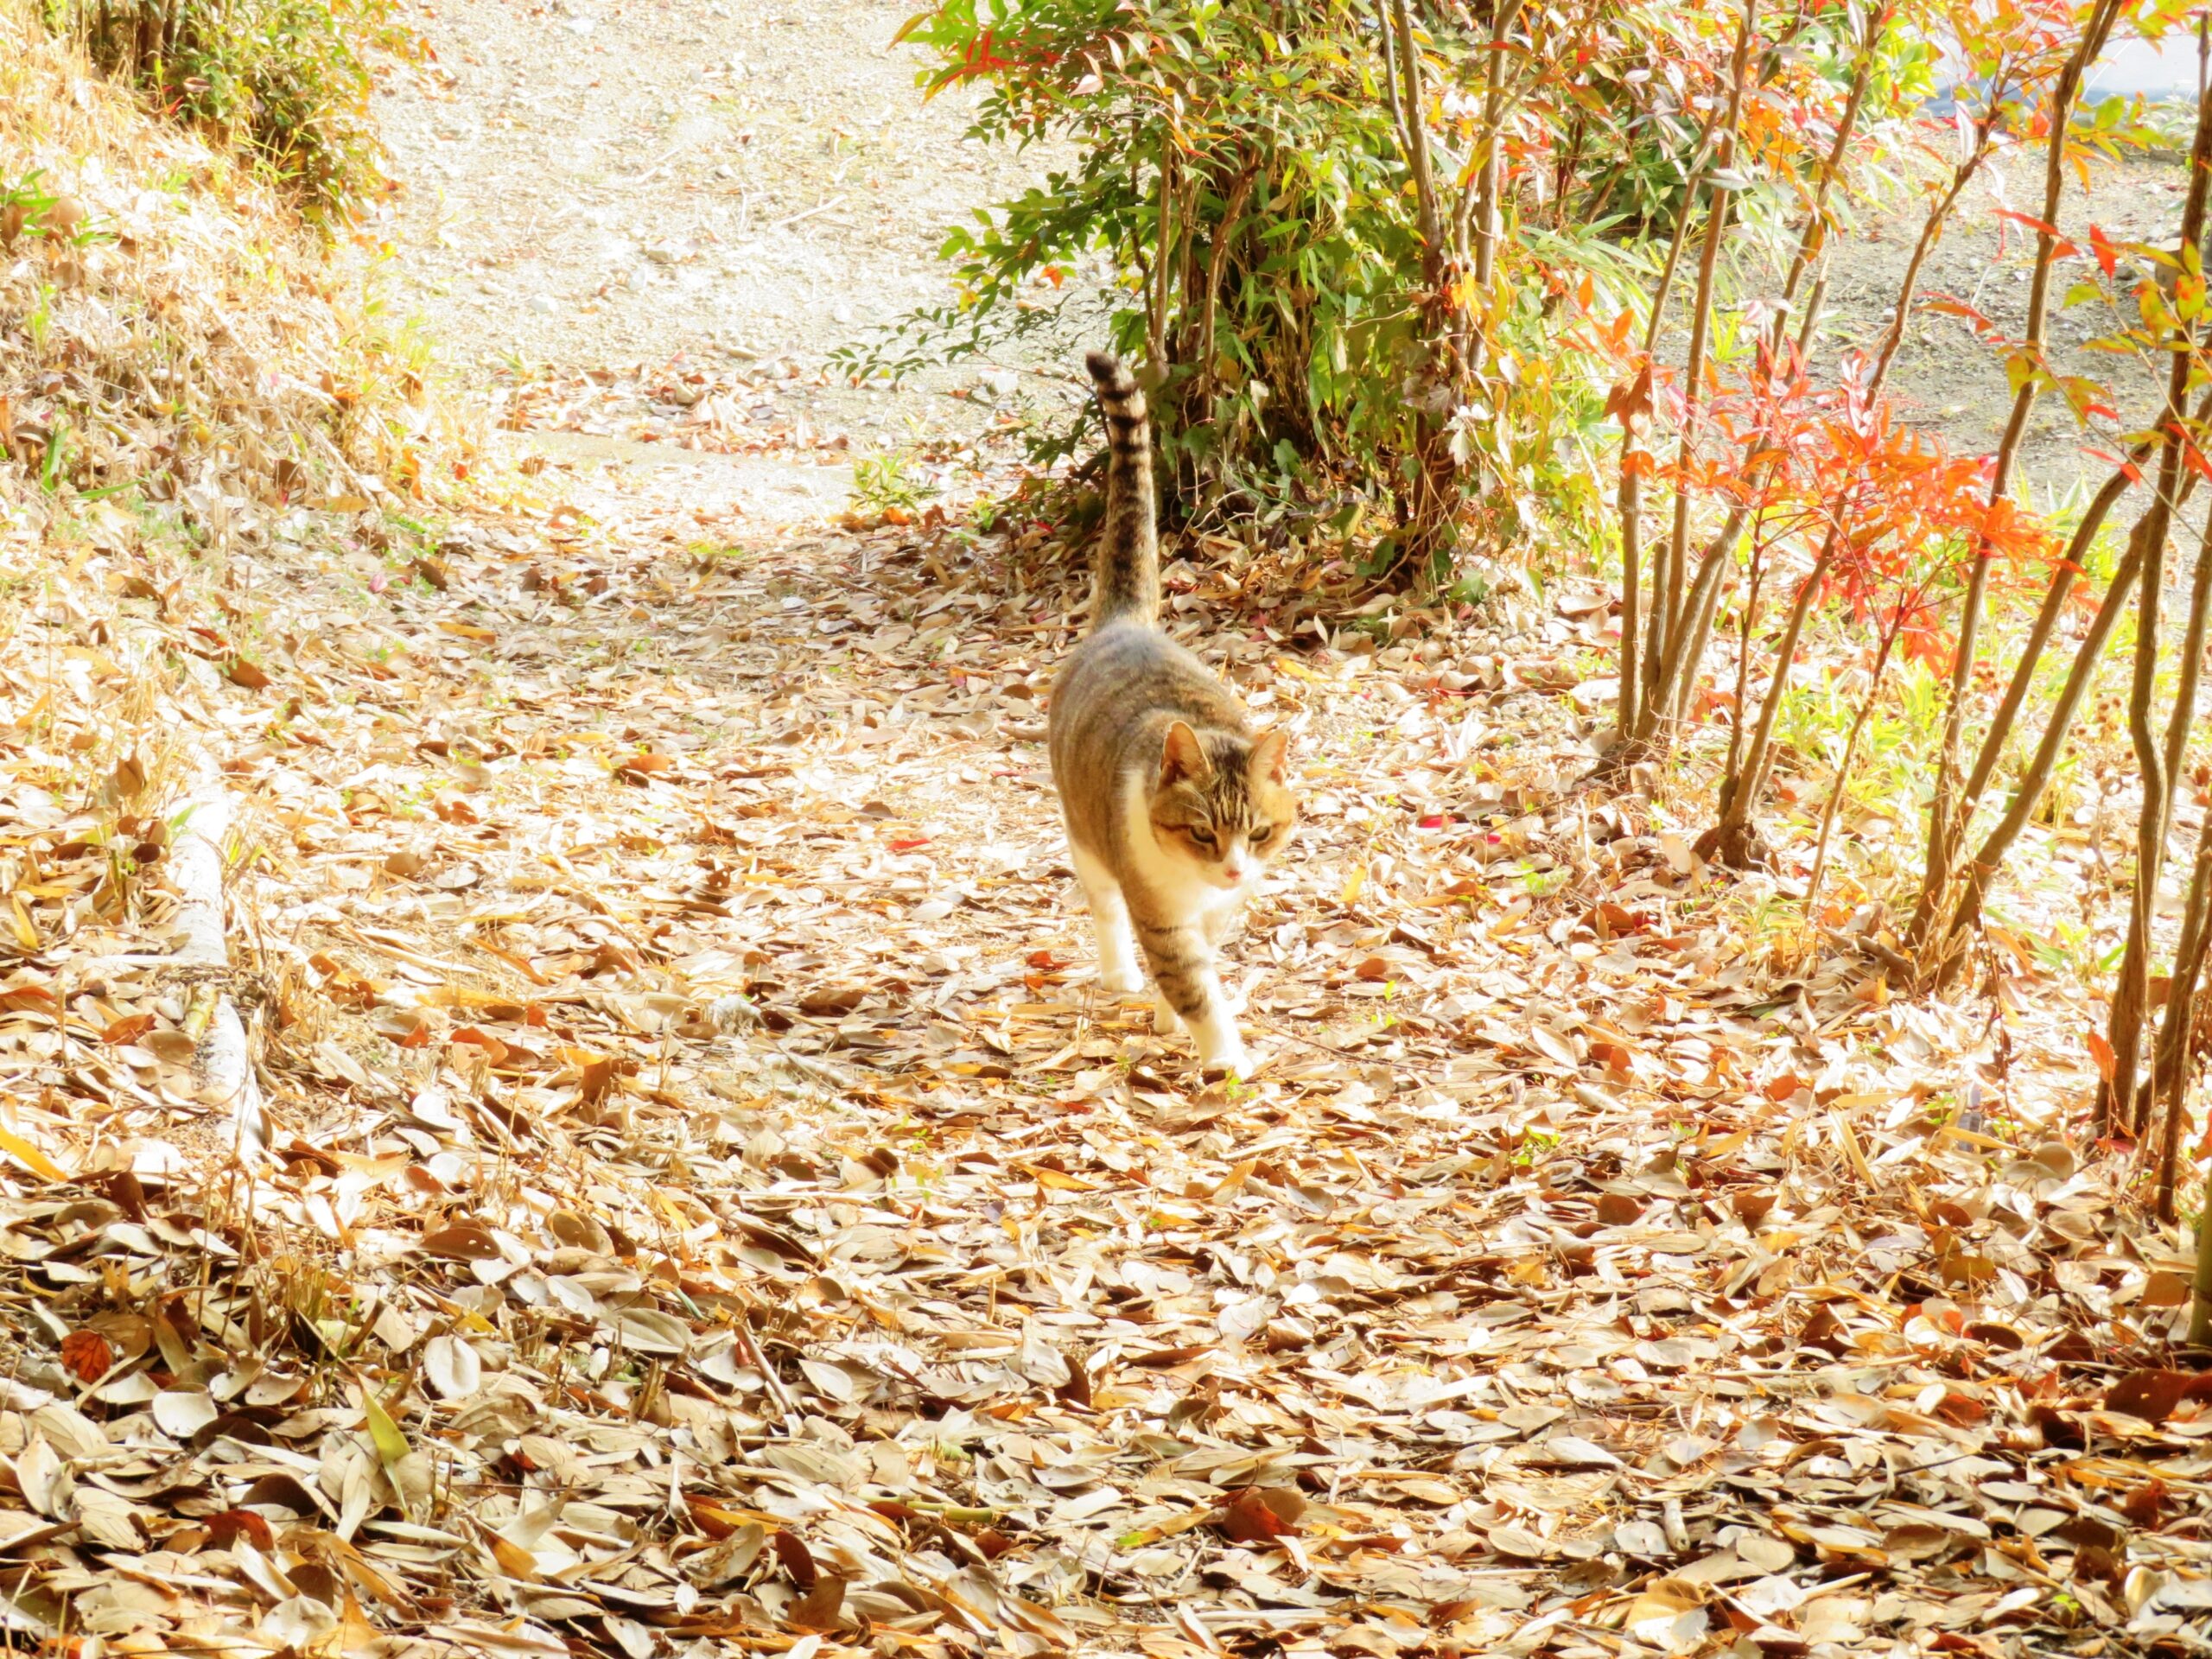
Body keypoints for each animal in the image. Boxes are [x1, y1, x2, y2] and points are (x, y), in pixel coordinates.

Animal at [1048, 352, 1292, 1079]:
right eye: (1203, 832)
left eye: (1258, 833)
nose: (1235, 869)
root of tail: (1125, 622)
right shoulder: (1159, 912)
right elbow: (1192, 983)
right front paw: (1227, 1058)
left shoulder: (1221, 911)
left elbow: (1199, 966)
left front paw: (1168, 1019)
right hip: (1086, 838)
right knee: (1103, 907)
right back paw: (1121, 974)